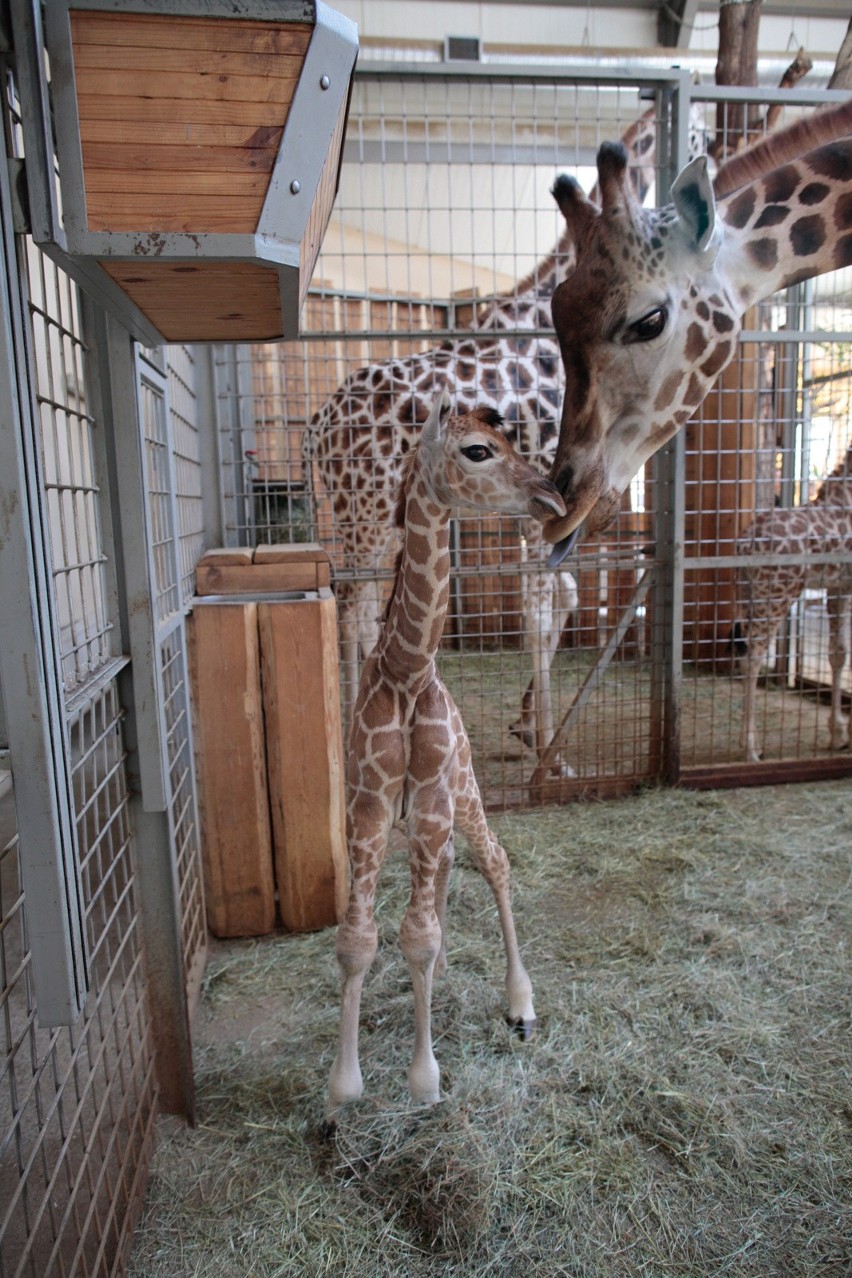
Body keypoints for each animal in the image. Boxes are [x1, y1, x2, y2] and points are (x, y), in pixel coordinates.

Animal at [329, 388, 569, 1109]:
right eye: (478, 450)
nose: (552, 497)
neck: (407, 670)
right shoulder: (369, 810)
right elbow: (361, 938)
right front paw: (343, 1087)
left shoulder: (434, 800)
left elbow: (418, 936)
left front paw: (424, 1078)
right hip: (425, 816)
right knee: (444, 884)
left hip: (461, 791)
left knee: (493, 861)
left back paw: (520, 1006)